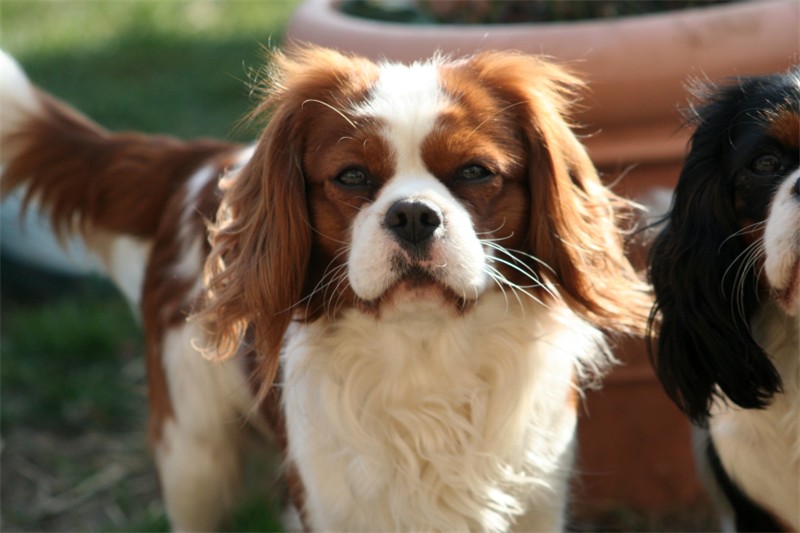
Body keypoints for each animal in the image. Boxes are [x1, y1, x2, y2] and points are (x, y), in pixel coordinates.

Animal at [0, 46, 648, 532]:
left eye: (474, 172)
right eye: (353, 177)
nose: (413, 215)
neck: (423, 353)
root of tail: (199, 162)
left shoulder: (537, 496)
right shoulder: (331, 501)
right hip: (193, 453)